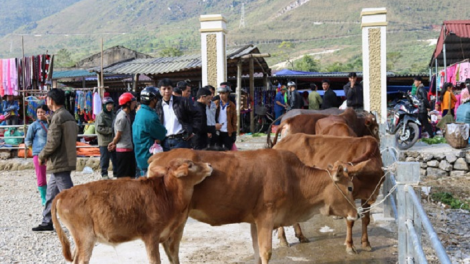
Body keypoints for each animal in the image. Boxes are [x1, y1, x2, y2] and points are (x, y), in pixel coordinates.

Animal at [51, 159, 213, 264]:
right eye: (190, 165)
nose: (209, 164)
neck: (168, 194)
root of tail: (65, 193)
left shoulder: (167, 236)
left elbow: (174, 259)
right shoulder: (151, 236)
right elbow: (155, 261)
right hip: (85, 236)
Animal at [147, 148, 368, 264]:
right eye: (349, 187)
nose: (356, 214)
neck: (294, 179)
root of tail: (157, 157)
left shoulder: (254, 221)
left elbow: (256, 252)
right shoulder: (266, 218)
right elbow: (265, 252)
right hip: (178, 219)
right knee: (171, 248)